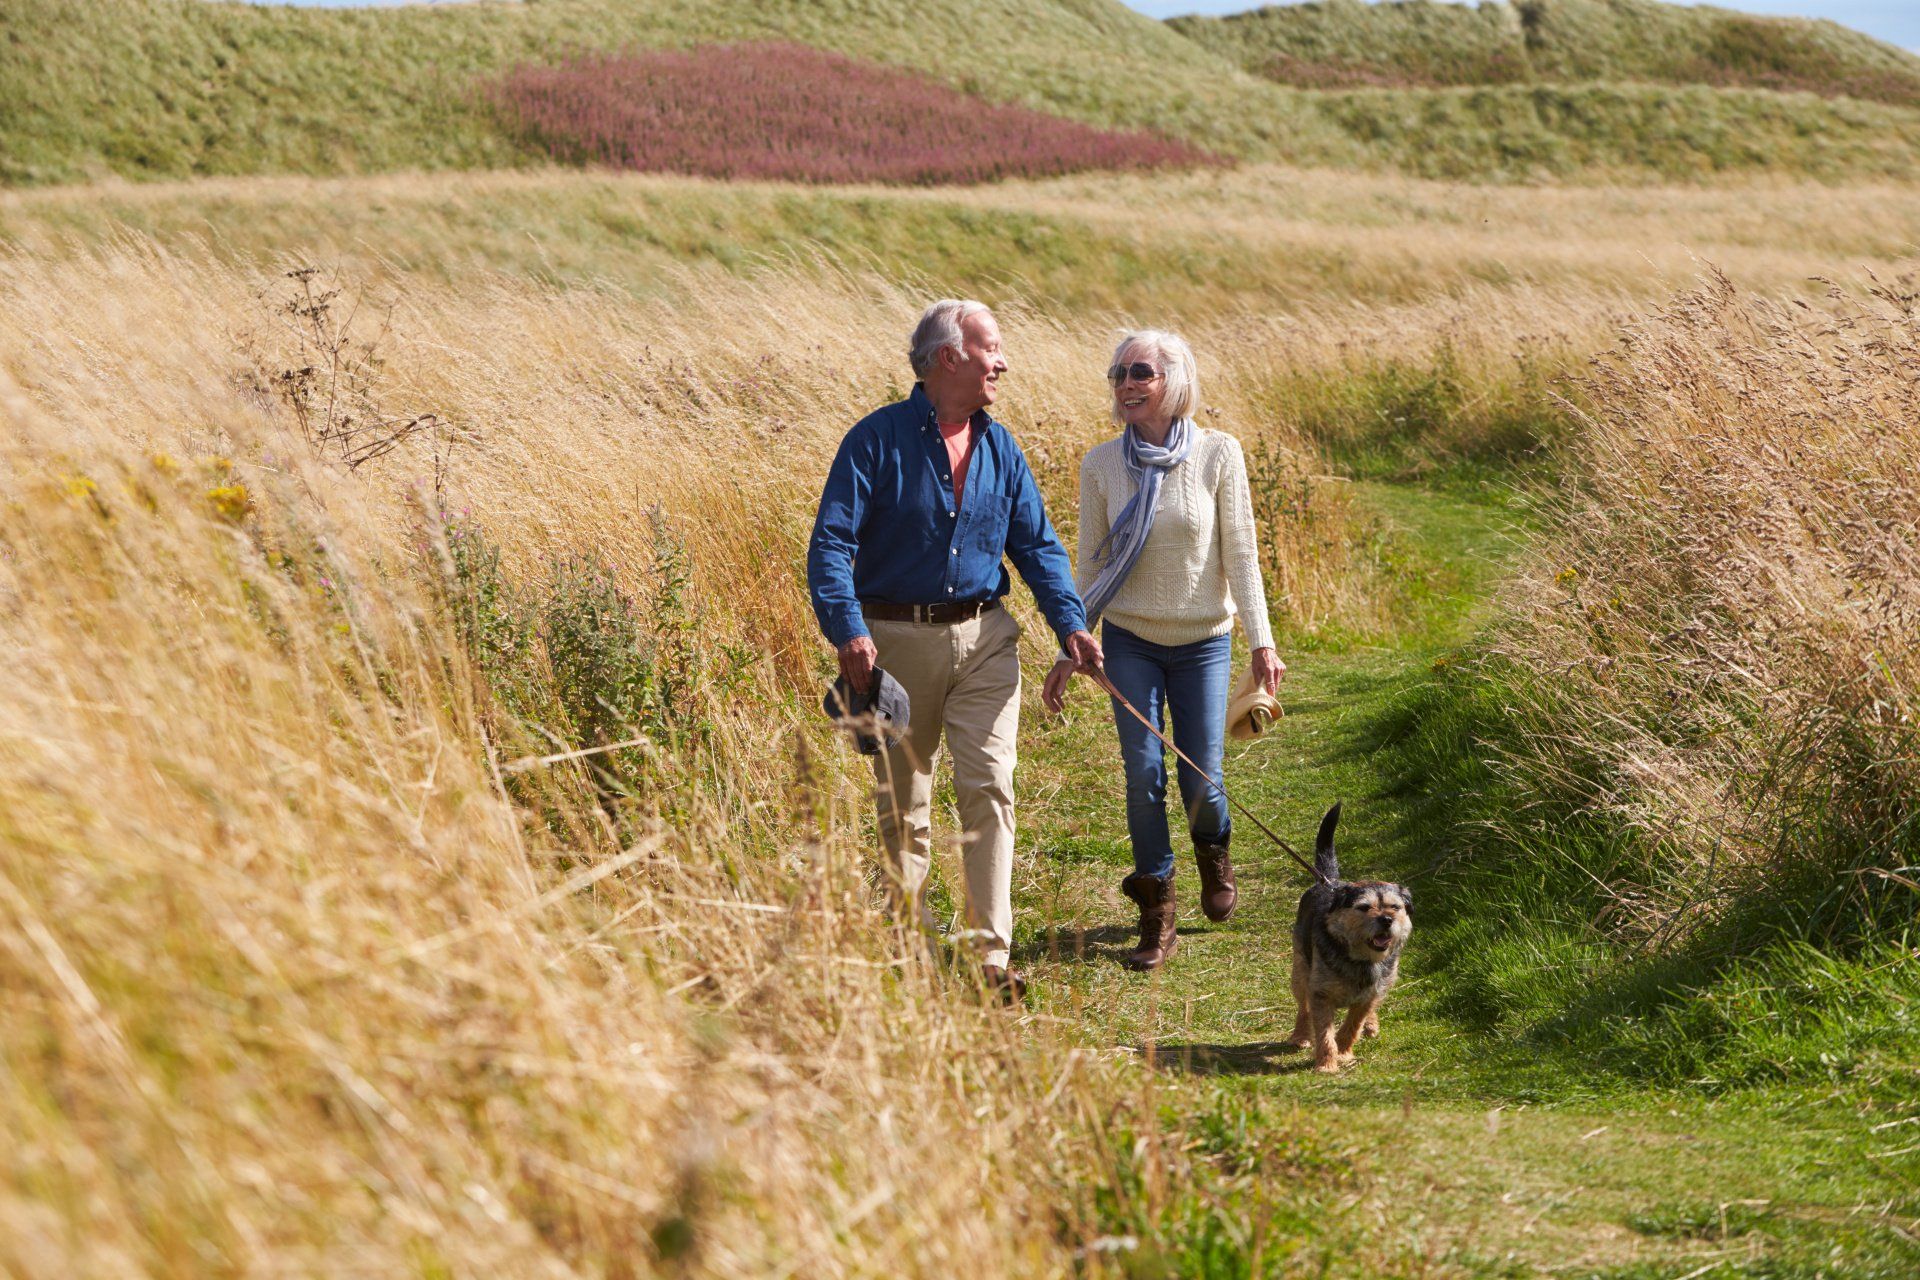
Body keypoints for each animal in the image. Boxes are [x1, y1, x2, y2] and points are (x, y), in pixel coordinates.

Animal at [1290, 809, 1413, 1074]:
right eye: (1364, 907)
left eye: (1395, 907)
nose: (1386, 919)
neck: (1359, 959)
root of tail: (1329, 881)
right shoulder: (1320, 994)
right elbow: (1324, 1033)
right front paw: (1327, 1064)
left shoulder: (1369, 994)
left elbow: (1353, 1025)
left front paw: (1344, 1051)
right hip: (1299, 971)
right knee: (1303, 1006)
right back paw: (1300, 1035)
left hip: (1387, 981)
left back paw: (1371, 1025)